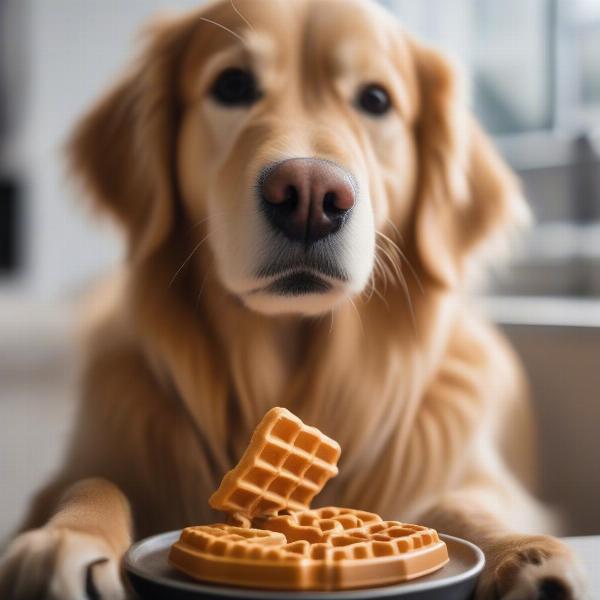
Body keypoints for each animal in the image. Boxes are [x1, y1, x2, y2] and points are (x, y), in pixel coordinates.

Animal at [0, 1, 584, 600]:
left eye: (376, 99)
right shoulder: (89, 460)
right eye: (232, 85)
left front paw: (525, 553)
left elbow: (462, 502)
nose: (309, 196)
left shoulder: (482, 480)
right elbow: (92, 482)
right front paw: (66, 540)